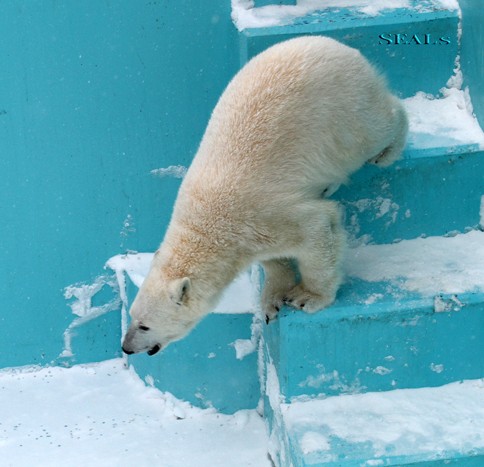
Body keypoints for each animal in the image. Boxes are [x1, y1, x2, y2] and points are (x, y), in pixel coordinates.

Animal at [120, 36, 404, 356]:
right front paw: (272, 300)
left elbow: (318, 229)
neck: (207, 226)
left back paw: (387, 150)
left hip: (342, 107)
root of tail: (336, 45)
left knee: (375, 128)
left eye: (145, 326)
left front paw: (307, 297)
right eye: (132, 315)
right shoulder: (250, 236)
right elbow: (274, 258)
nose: (126, 347)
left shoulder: (263, 213)